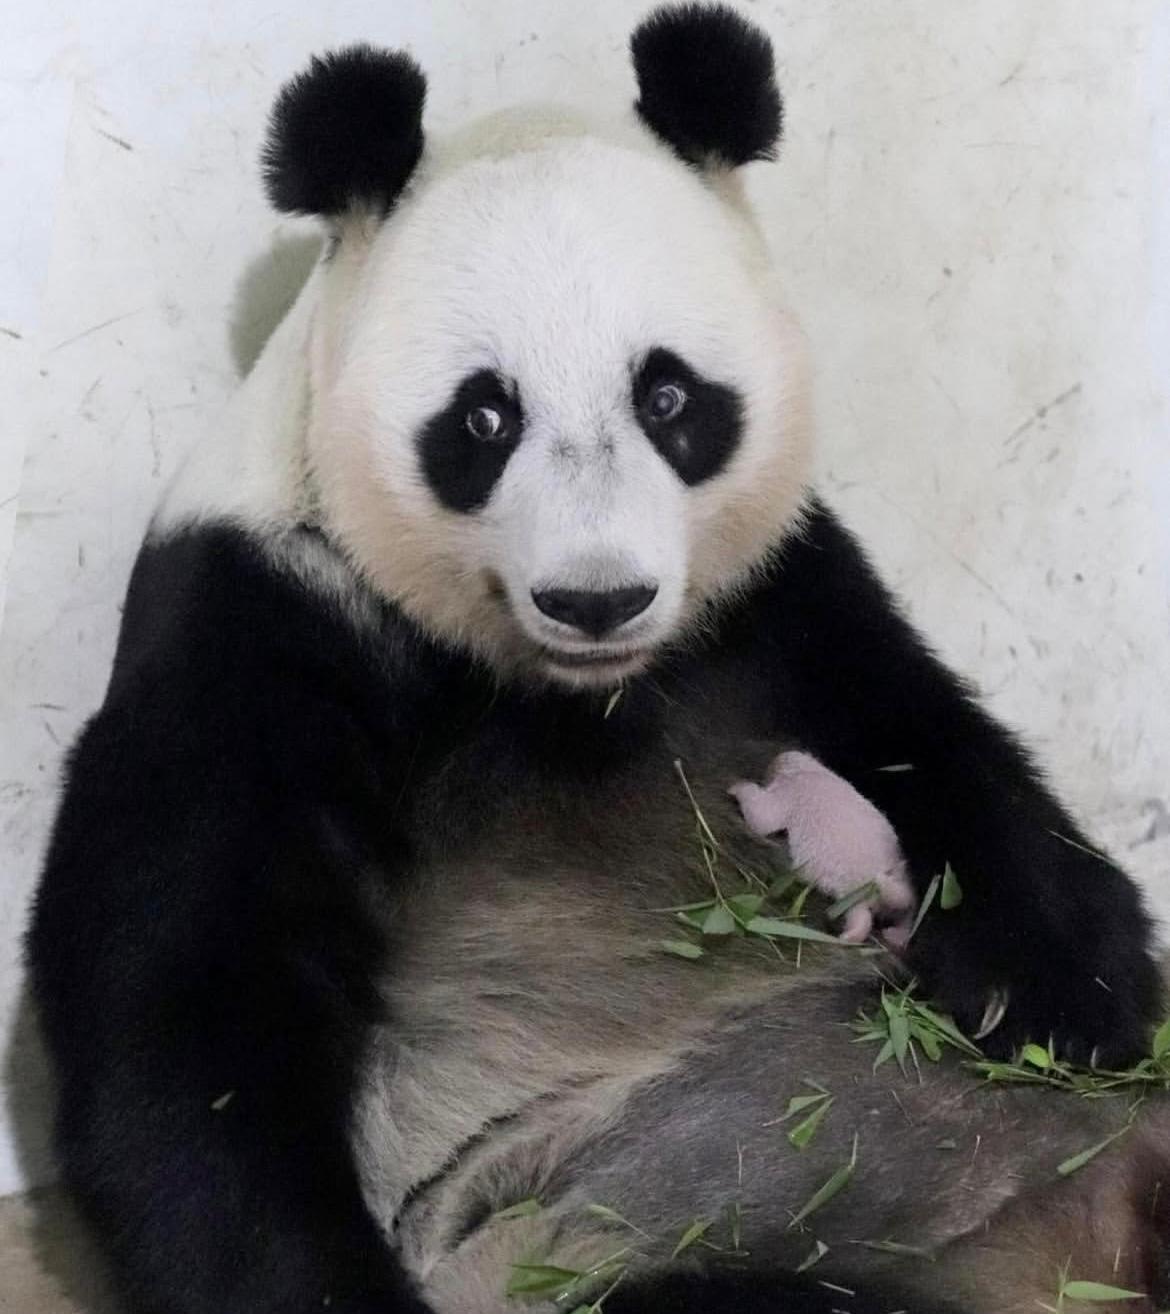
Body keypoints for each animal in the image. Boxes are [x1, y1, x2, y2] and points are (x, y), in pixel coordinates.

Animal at [26, 5, 1168, 1313]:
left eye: (668, 397)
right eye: (483, 417)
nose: (597, 597)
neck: (566, 694)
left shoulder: (771, 595)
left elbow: (928, 737)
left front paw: (1064, 997)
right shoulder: (262, 625)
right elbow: (188, 1005)